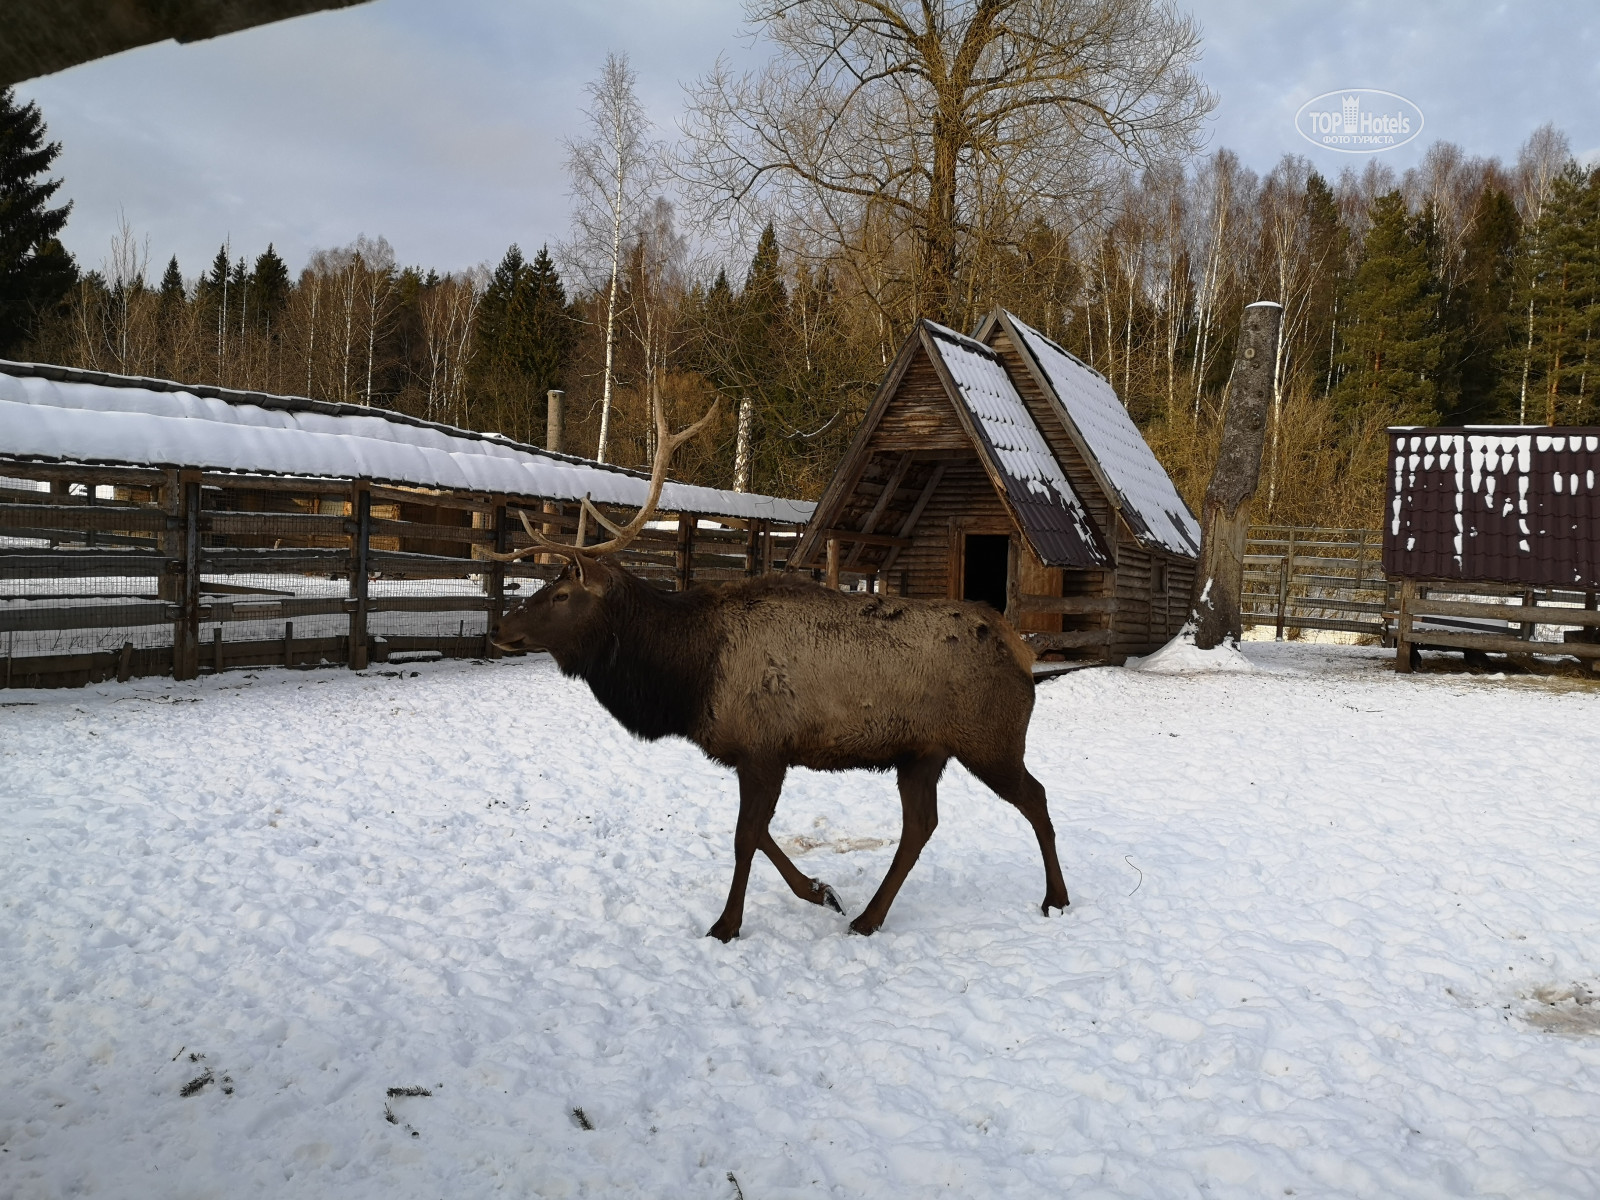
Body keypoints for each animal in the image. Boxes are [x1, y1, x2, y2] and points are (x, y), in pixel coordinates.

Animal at [486, 395, 1062, 940]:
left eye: (562, 594)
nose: (500, 628)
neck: (687, 676)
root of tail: (1022, 649)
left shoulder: (763, 747)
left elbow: (745, 838)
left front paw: (726, 925)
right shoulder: (759, 752)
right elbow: (761, 833)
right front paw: (821, 891)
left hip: (990, 739)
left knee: (1034, 796)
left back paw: (1055, 898)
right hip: (923, 752)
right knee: (921, 825)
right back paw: (867, 917)